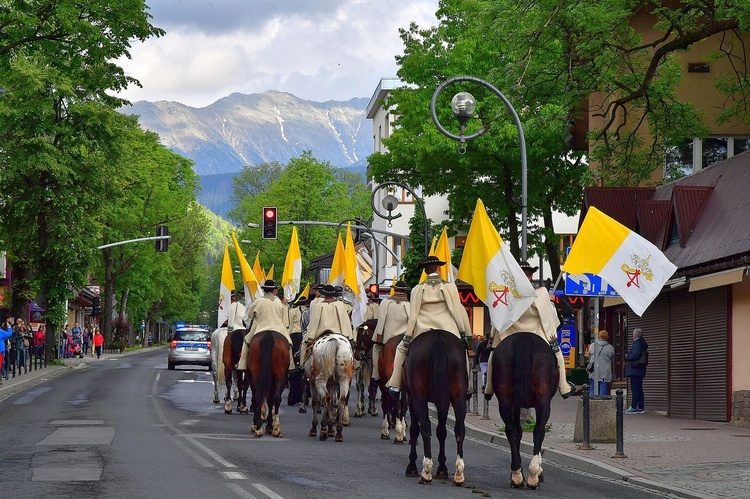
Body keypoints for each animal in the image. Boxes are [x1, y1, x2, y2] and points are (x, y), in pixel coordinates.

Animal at [402, 330, 468, 486]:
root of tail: (438, 336)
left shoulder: (411, 397)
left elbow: (414, 429)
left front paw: (411, 466)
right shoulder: (444, 400)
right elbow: (442, 431)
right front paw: (442, 468)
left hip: (419, 397)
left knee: (425, 426)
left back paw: (426, 472)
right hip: (458, 397)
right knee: (459, 428)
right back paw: (459, 474)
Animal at [494, 332, 560, 488]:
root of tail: (522, 337)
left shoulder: (516, 404)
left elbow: (518, 432)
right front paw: (537, 471)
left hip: (505, 400)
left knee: (511, 430)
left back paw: (516, 475)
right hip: (543, 402)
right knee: (539, 430)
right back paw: (533, 474)